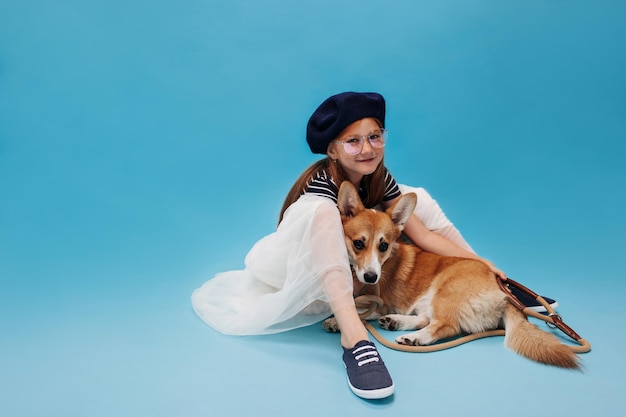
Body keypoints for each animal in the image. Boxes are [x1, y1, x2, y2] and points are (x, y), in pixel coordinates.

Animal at [330, 182, 576, 368]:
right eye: (359, 243)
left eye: (383, 246)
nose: (372, 277)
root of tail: (503, 295)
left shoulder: (379, 302)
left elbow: (357, 308)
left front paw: (335, 320)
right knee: (425, 318)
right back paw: (396, 322)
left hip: (444, 291)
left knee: (445, 325)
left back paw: (414, 338)